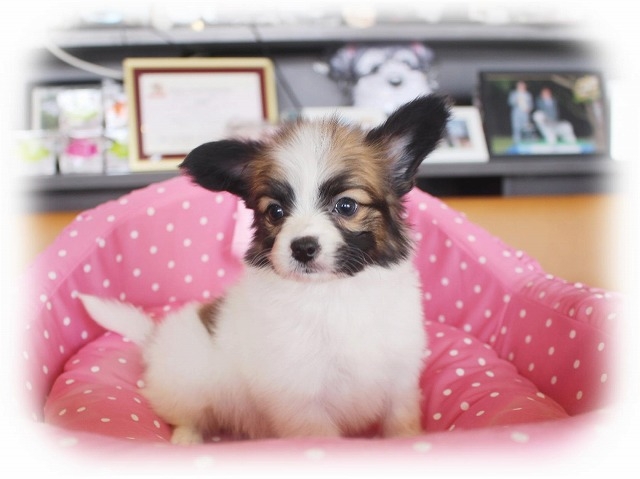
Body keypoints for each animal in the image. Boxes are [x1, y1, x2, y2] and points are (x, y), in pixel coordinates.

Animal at [80, 95, 450, 445]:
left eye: (346, 206)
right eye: (275, 211)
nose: (302, 247)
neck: (331, 291)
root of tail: (153, 338)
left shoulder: (399, 379)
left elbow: (400, 422)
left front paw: (407, 442)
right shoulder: (300, 399)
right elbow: (321, 437)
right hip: (190, 384)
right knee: (185, 415)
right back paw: (187, 439)